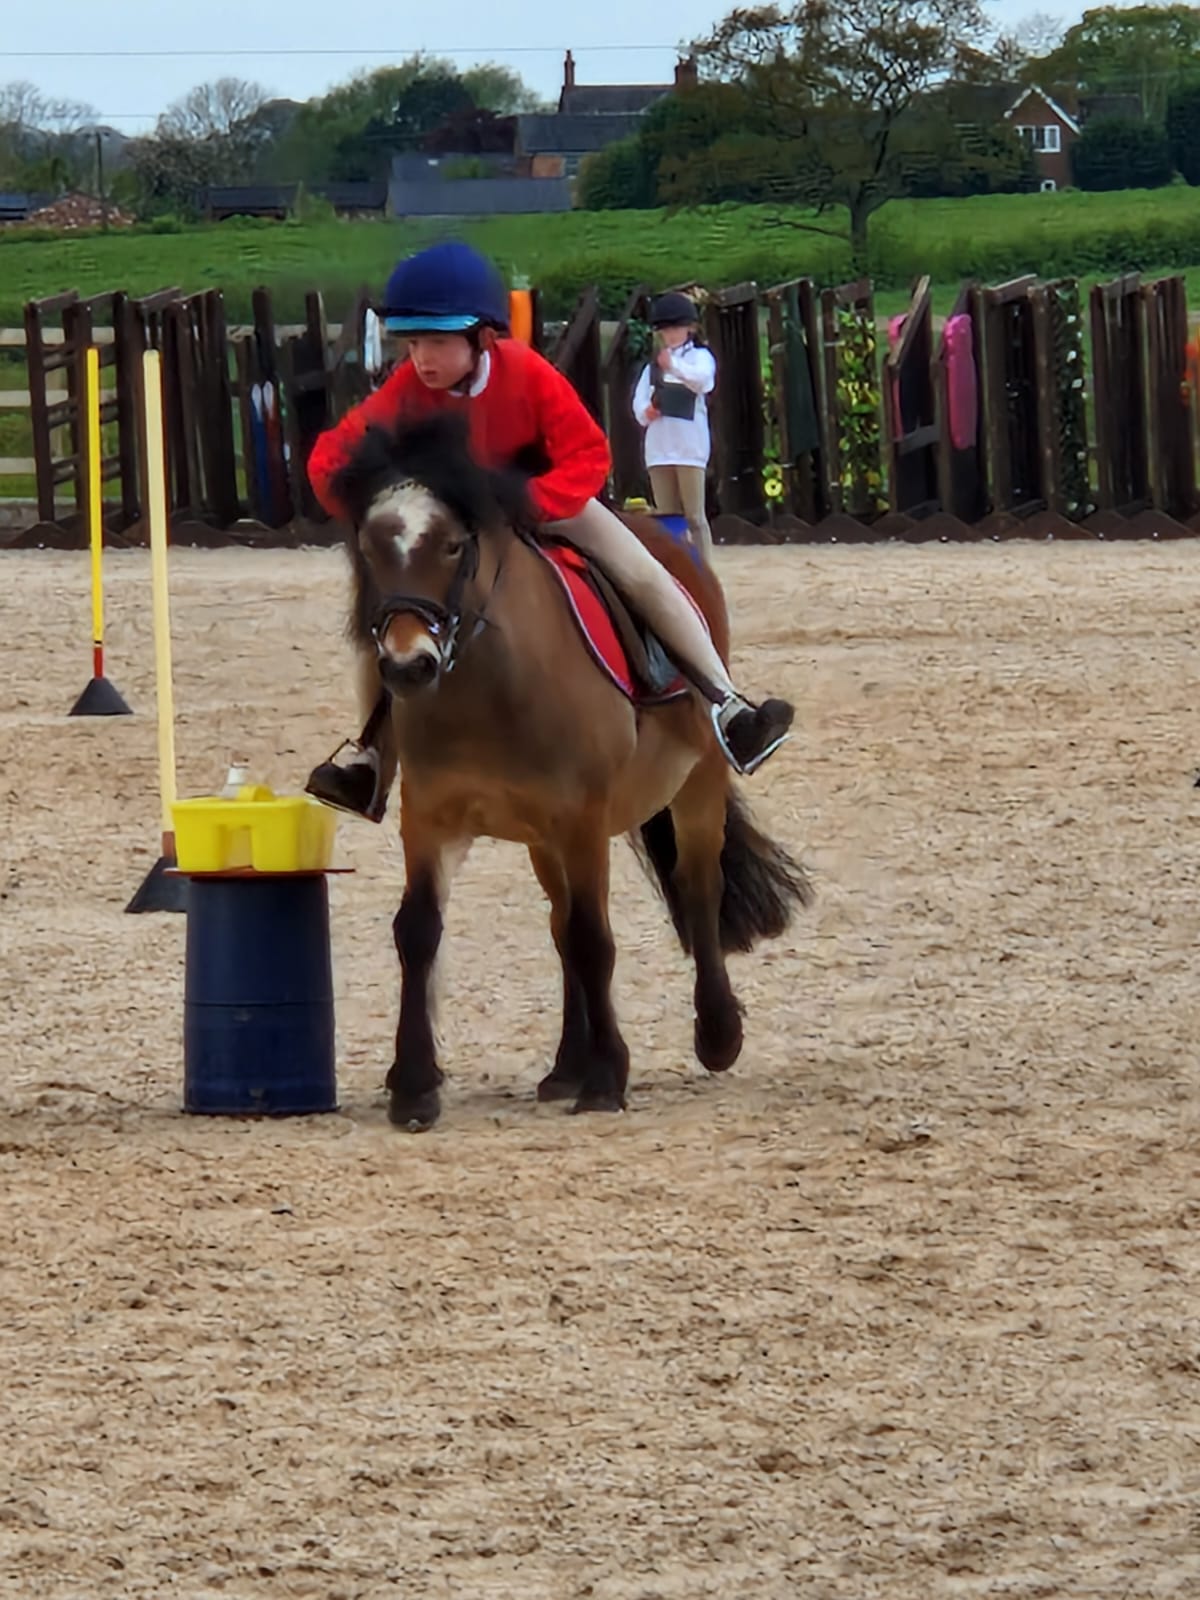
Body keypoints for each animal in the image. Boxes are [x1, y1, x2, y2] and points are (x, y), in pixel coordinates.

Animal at [328, 411, 812, 1130]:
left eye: (452, 546)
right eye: (370, 548)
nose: (408, 666)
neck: (488, 684)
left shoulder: (582, 821)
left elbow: (594, 939)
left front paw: (608, 1077)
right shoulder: (431, 819)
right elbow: (419, 930)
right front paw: (414, 1085)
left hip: (695, 787)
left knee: (697, 891)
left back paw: (716, 1032)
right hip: (540, 838)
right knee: (559, 926)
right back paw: (566, 1064)